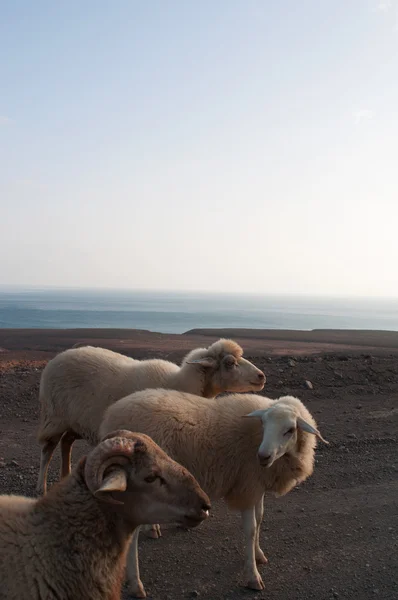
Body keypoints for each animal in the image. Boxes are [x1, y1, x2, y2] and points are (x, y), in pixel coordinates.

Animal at [35, 338, 264, 496]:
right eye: (230, 363)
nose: (261, 376)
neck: (178, 382)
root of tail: (58, 357)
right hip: (53, 416)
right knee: (47, 450)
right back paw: (41, 487)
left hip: (76, 422)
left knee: (66, 442)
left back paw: (65, 475)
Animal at [99, 390, 330, 596]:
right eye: (264, 424)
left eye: (290, 430)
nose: (263, 456)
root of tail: (112, 416)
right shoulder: (247, 485)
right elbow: (250, 529)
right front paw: (253, 576)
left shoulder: (256, 485)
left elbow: (260, 518)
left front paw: (258, 555)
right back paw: (136, 585)